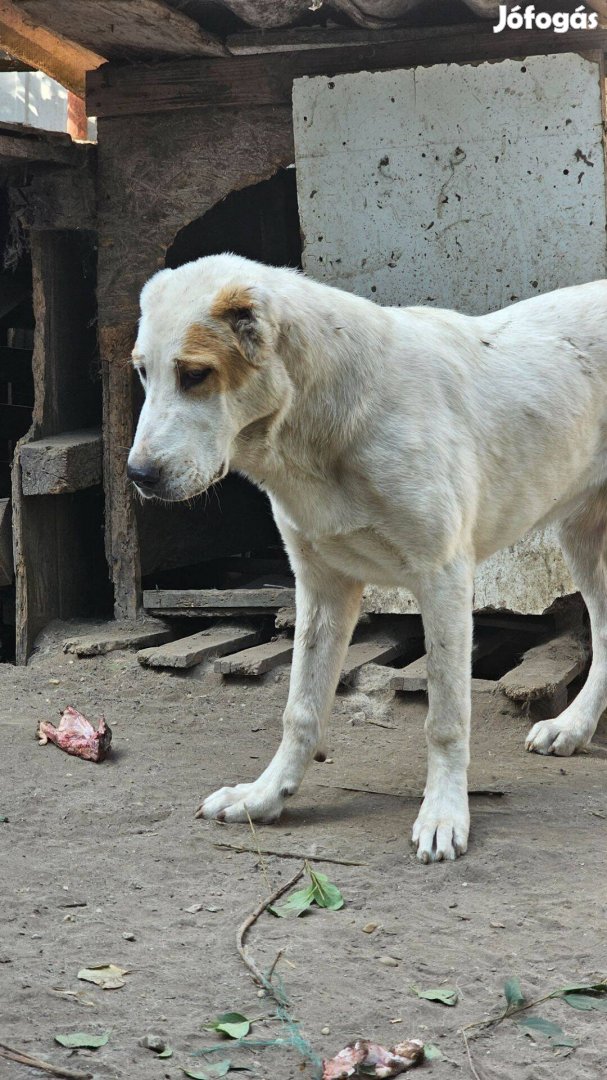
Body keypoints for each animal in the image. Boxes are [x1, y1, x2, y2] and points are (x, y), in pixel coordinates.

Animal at [127, 252, 604, 859]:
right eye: (143, 371)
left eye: (194, 374)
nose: (137, 475)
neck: (322, 425)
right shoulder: (321, 585)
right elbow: (300, 710)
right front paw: (266, 796)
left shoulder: (444, 578)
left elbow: (445, 718)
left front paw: (444, 814)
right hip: (581, 537)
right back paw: (576, 726)